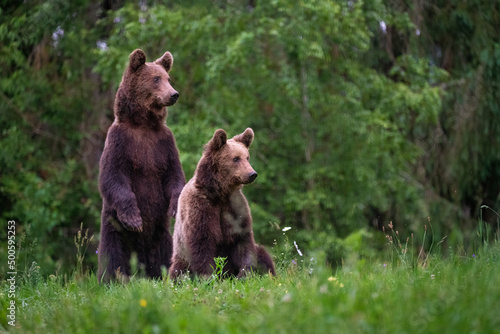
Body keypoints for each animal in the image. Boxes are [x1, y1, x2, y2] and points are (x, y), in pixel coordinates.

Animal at [96, 47, 185, 282]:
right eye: (155, 79)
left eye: (168, 78)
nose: (174, 94)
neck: (144, 124)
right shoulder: (120, 141)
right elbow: (112, 176)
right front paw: (135, 219)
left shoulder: (163, 143)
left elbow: (174, 174)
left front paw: (175, 207)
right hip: (114, 225)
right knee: (112, 253)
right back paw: (112, 278)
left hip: (160, 232)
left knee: (165, 251)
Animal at [170, 128, 276, 280]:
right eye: (236, 158)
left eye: (247, 157)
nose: (252, 174)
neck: (220, 193)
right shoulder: (201, 208)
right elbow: (201, 243)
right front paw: (208, 277)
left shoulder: (235, 207)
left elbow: (243, 242)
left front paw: (244, 274)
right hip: (181, 258)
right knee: (179, 271)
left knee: (262, 254)